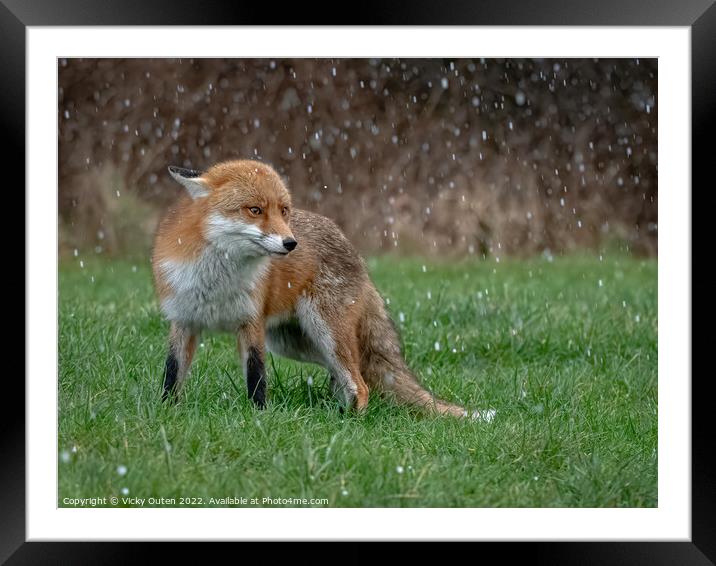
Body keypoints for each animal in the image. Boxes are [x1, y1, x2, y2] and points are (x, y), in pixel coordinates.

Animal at [152, 159, 470, 418]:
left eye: (284, 211)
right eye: (255, 210)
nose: (291, 243)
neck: (218, 280)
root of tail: (355, 252)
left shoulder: (251, 323)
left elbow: (256, 377)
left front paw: (258, 417)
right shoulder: (183, 320)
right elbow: (172, 372)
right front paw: (167, 411)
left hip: (324, 330)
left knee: (361, 384)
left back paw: (346, 420)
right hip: (293, 341)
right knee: (351, 374)